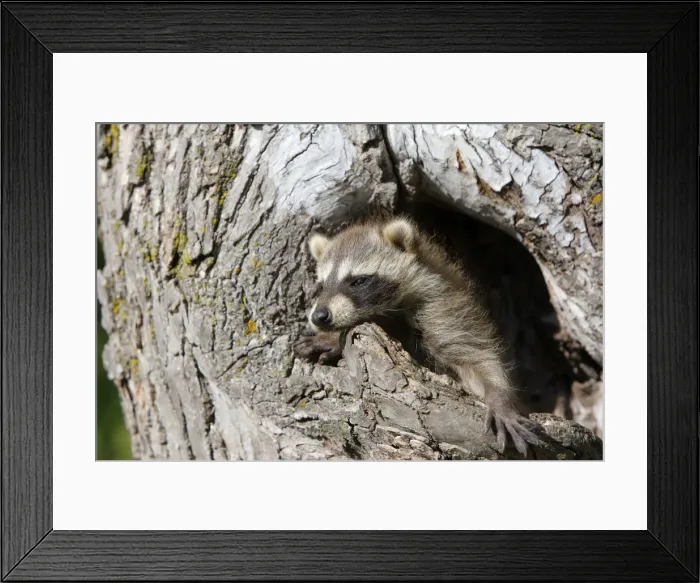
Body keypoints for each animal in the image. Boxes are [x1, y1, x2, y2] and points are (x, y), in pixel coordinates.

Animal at [294, 216, 543, 456]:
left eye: (358, 281)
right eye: (322, 286)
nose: (319, 316)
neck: (389, 310)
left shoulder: (442, 308)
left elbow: (477, 355)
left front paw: (499, 397)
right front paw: (331, 340)